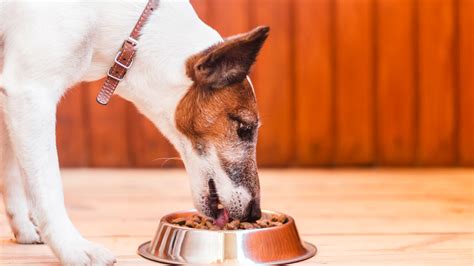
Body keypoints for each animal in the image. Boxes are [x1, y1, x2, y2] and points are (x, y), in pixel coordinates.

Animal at [0, 1, 266, 264]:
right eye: (244, 128)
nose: (255, 213)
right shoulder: (31, 93)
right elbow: (48, 187)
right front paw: (72, 248)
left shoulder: (10, 100)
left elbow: (11, 174)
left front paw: (24, 228)